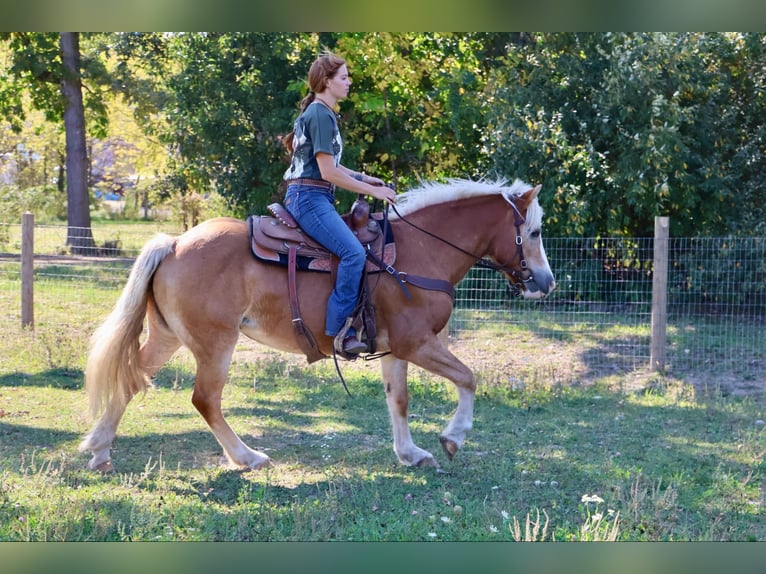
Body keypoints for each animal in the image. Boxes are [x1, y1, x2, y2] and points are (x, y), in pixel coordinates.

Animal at [79, 179, 560, 472]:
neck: (420, 252)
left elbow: (399, 400)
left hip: (169, 337)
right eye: (535, 232)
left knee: (131, 378)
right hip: (215, 343)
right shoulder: (417, 343)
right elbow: (468, 378)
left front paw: (410, 453)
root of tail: (176, 243)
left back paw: (99, 450)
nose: (547, 282)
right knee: (205, 399)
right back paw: (247, 457)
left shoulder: (396, 349)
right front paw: (452, 437)